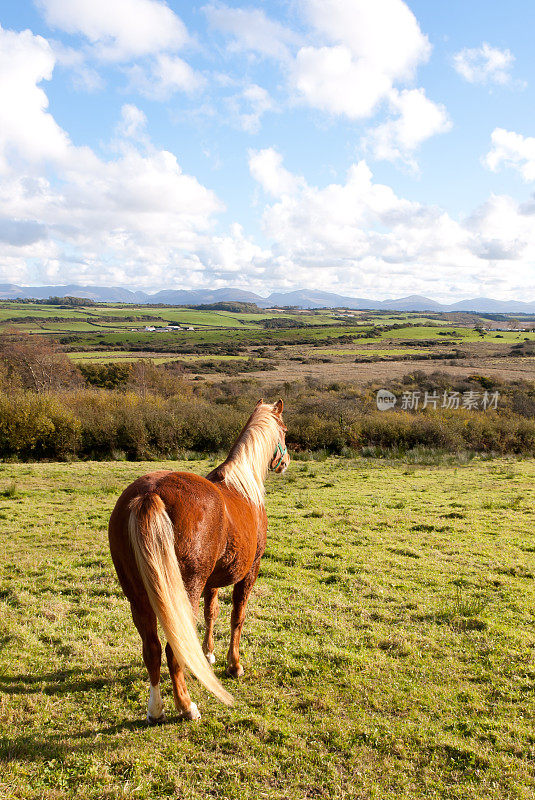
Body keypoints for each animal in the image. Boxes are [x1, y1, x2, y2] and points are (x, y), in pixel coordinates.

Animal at [108, 396, 288, 720]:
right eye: (285, 431)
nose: (286, 461)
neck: (243, 485)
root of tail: (150, 493)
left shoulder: (212, 581)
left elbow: (211, 613)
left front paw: (207, 654)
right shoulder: (250, 572)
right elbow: (237, 617)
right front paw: (234, 665)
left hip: (138, 596)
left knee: (152, 648)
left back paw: (156, 709)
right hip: (184, 590)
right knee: (171, 648)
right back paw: (186, 706)